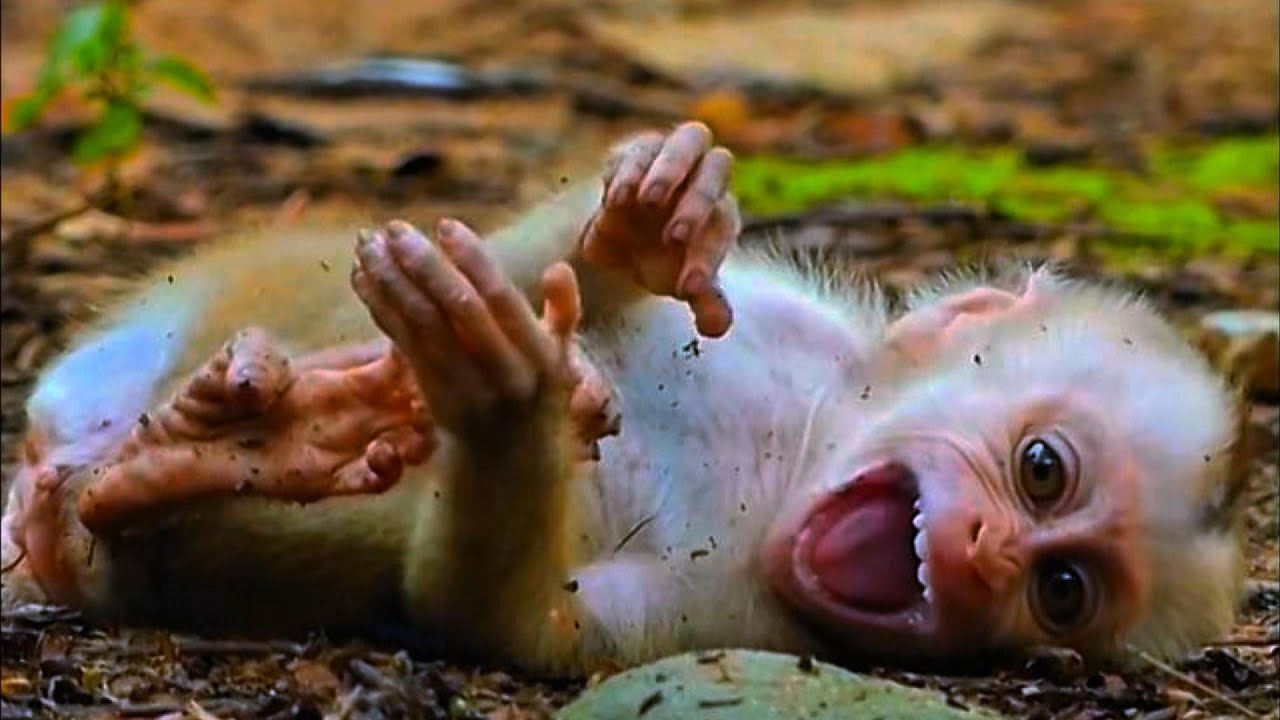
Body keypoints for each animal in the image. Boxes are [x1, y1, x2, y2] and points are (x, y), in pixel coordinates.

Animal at [0, 122, 1250, 676]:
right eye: (1041, 470)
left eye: (1061, 592)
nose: (988, 552)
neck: (797, 454)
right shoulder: (789, 321)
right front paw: (641, 223)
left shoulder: (745, 628)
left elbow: (516, 625)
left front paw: (507, 407)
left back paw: (197, 460)